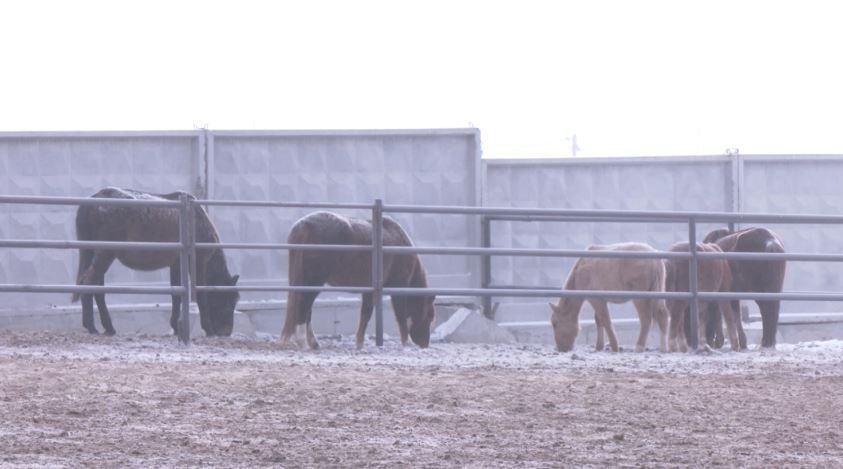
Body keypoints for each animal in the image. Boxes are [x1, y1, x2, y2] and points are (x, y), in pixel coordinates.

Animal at [71, 186, 241, 336]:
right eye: (229, 303)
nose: (226, 332)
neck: (197, 220)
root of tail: (94, 200)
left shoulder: (176, 265)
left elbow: (176, 294)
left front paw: (175, 327)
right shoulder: (199, 262)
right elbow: (201, 295)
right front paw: (208, 329)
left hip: (93, 253)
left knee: (97, 288)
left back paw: (108, 327)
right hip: (105, 254)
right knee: (89, 283)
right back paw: (92, 326)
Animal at [284, 210, 438, 350]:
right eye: (430, 316)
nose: (425, 344)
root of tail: (304, 225)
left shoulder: (369, 290)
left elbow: (365, 314)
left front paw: (359, 342)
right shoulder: (398, 289)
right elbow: (400, 316)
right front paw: (406, 342)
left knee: (306, 310)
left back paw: (313, 343)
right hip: (312, 282)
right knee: (303, 307)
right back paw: (303, 342)